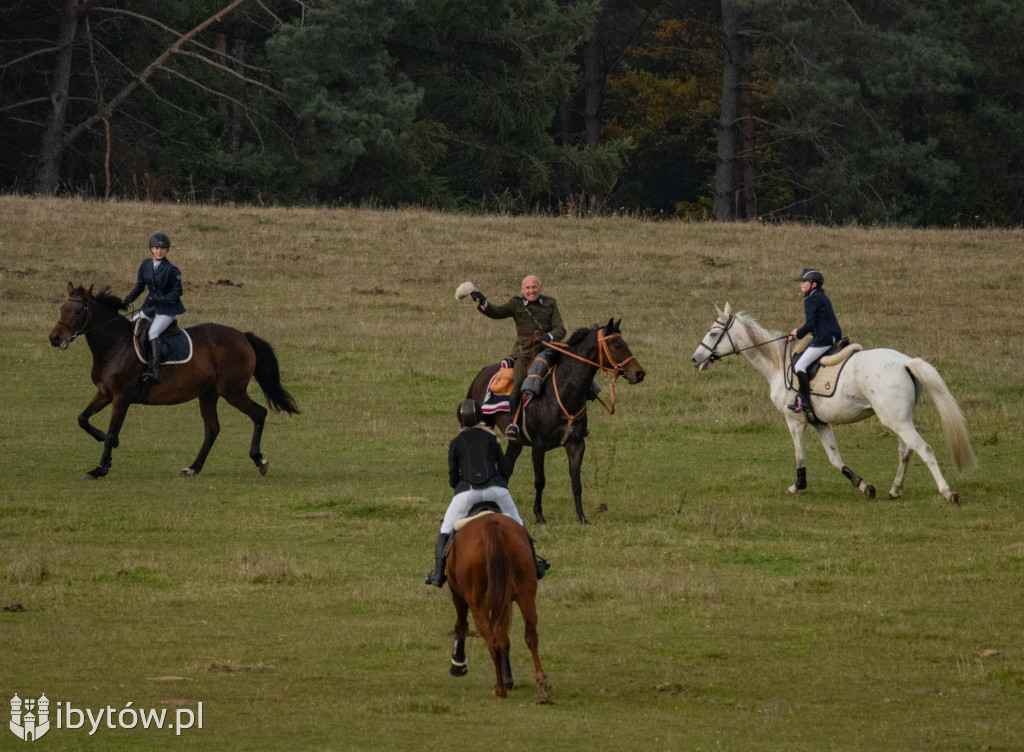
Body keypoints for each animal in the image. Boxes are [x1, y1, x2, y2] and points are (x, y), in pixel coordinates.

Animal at [49, 282, 299, 483]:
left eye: (78, 311)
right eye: (62, 309)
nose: (55, 338)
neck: (114, 345)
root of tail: (242, 336)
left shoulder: (121, 397)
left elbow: (111, 433)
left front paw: (100, 469)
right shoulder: (104, 393)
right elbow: (83, 419)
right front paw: (106, 453)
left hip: (232, 391)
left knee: (258, 413)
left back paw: (259, 460)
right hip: (208, 393)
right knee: (212, 429)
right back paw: (193, 468)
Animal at [444, 516, 548, 704]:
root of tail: (491, 524)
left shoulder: (458, 596)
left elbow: (461, 625)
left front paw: (458, 664)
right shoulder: (505, 603)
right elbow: (504, 639)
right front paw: (509, 678)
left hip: (478, 605)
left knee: (491, 642)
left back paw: (500, 690)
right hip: (526, 595)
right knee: (530, 635)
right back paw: (541, 682)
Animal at [468, 321, 643, 528]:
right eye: (616, 345)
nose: (639, 373)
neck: (561, 391)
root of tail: (482, 373)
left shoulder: (576, 444)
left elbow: (576, 482)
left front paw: (581, 517)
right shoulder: (538, 446)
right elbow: (540, 480)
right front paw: (539, 516)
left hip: (516, 442)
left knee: (506, 470)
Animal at [688, 305, 974, 506]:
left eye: (714, 333)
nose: (695, 359)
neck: (778, 364)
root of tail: (905, 361)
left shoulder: (795, 421)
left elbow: (800, 455)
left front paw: (798, 486)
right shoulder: (820, 422)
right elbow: (835, 459)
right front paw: (863, 485)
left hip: (897, 421)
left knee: (924, 449)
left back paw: (948, 493)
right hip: (900, 420)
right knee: (906, 452)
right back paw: (895, 490)